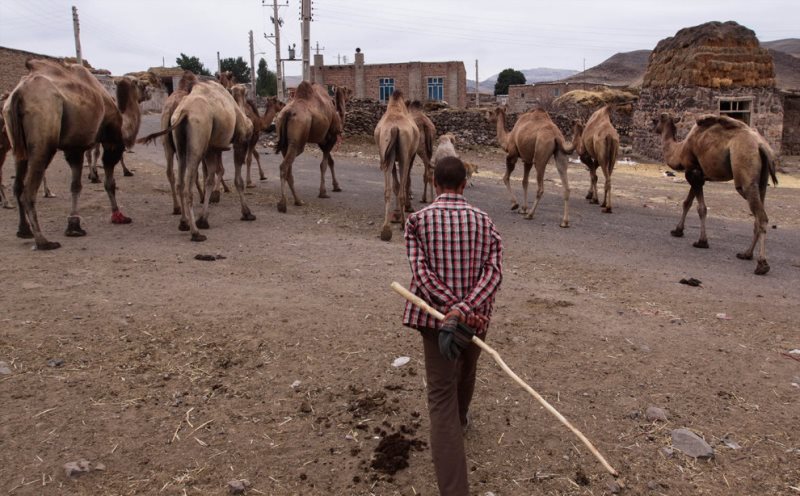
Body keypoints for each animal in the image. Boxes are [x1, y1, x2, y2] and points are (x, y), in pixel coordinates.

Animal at [1, 58, 131, 250]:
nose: (119, 216)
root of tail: (18, 94)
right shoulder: (95, 143)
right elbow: (92, 182)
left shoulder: (73, 148)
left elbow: (75, 186)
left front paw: (74, 226)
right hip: (45, 131)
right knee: (28, 191)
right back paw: (43, 241)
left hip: (17, 143)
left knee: (17, 185)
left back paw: (24, 230)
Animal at [139, 80, 253, 242]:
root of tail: (184, 112)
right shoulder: (240, 141)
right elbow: (237, 180)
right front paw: (247, 212)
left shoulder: (212, 148)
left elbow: (210, 179)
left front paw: (204, 218)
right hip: (197, 142)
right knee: (188, 186)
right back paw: (195, 233)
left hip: (180, 146)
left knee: (179, 181)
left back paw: (184, 222)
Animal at [274, 81, 348, 211]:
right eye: (346, 91)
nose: (348, 96)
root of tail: (287, 113)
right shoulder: (331, 138)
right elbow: (323, 165)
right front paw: (323, 192)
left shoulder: (322, 141)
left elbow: (330, 161)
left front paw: (336, 186)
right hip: (298, 140)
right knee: (284, 166)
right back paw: (283, 204)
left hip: (284, 143)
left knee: (288, 168)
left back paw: (298, 201)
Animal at [374, 91, 418, 244]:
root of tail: (394, 128)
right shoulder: (411, 156)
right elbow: (405, 182)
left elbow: (395, 185)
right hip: (404, 155)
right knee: (401, 189)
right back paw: (403, 224)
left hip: (385, 151)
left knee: (387, 190)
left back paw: (385, 230)